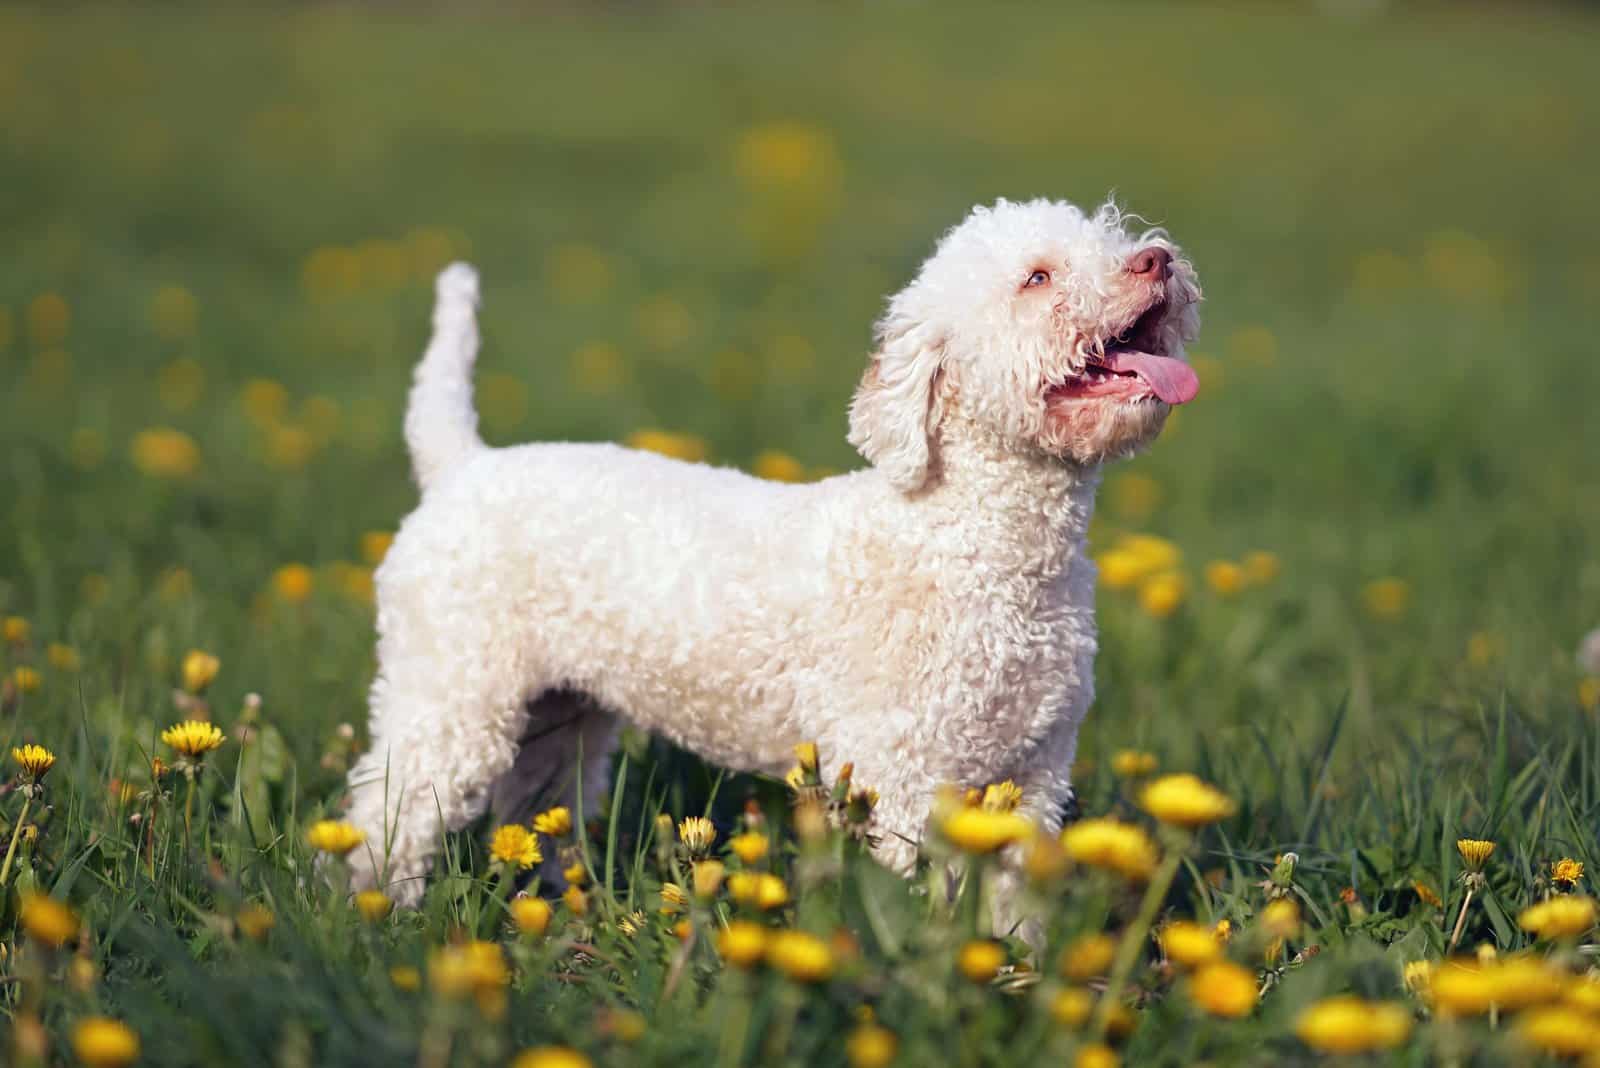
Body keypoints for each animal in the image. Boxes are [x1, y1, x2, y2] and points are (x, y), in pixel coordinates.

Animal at [350, 198, 1203, 908]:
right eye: (1037, 277)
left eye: (1112, 235)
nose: (1156, 261)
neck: (971, 542)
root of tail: (461, 463)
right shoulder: (899, 770)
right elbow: (913, 897)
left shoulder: (1034, 771)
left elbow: (1010, 909)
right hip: (449, 690)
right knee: (385, 808)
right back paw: (376, 910)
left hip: (561, 714)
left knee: (538, 803)